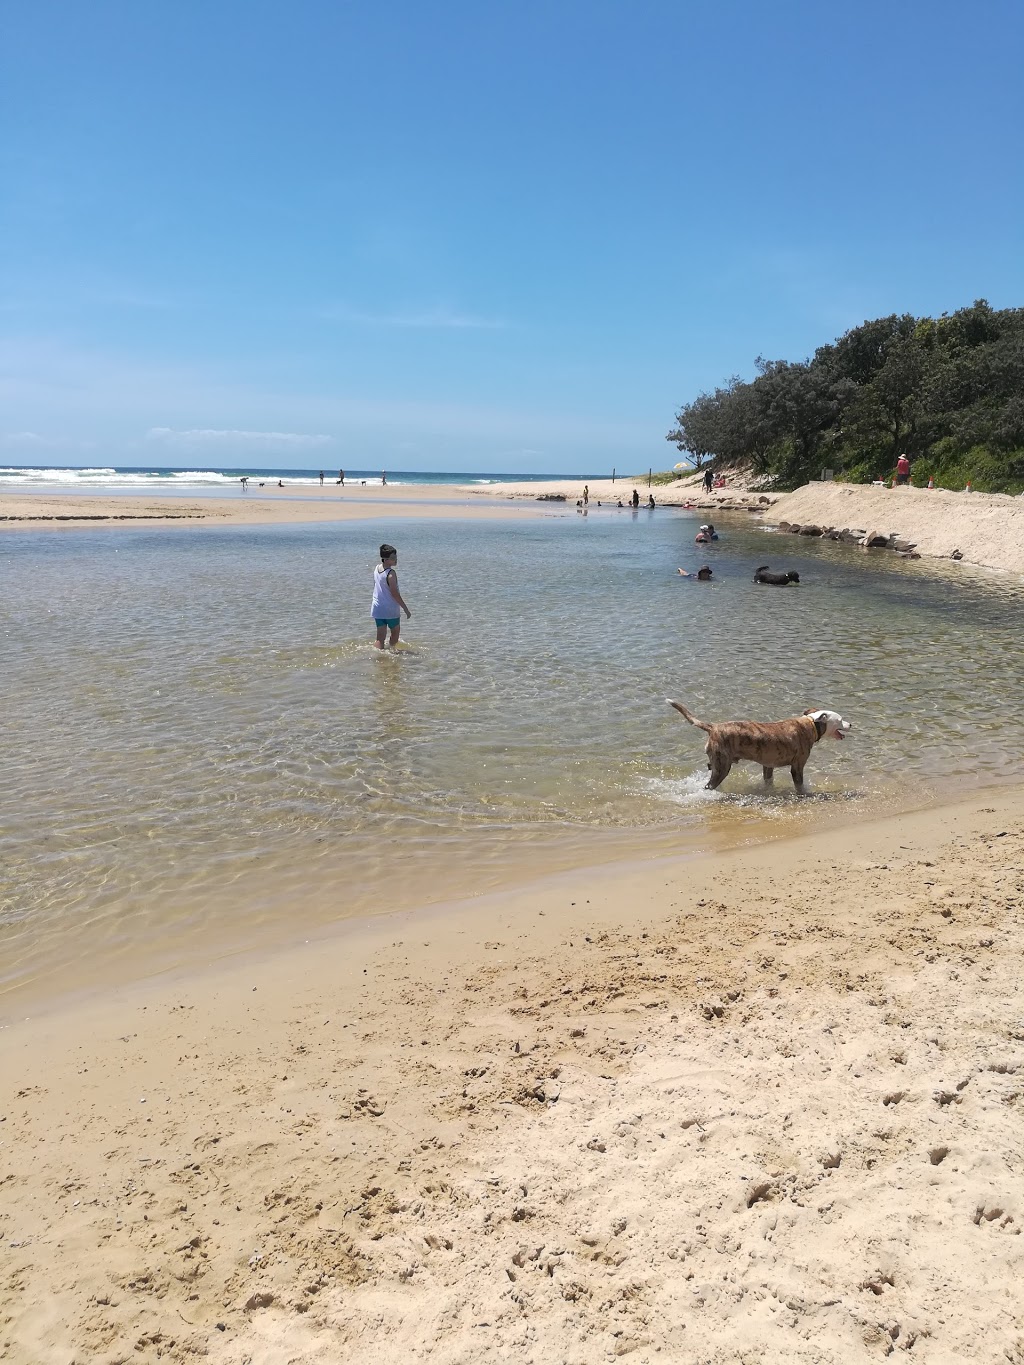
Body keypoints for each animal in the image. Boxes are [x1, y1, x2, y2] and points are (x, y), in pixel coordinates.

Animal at [666, 698, 851, 797]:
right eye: (841, 719)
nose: (851, 724)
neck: (811, 724)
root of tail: (713, 727)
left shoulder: (768, 765)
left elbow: (768, 781)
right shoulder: (797, 766)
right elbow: (799, 785)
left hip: (716, 763)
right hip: (723, 766)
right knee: (709, 785)